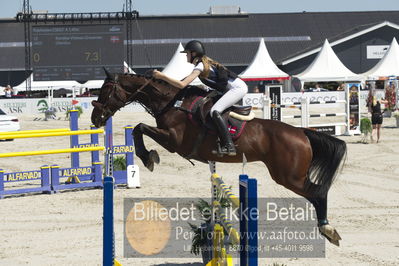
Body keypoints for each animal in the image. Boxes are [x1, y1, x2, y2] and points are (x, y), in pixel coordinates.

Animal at [91, 70, 346, 245]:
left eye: (106, 91)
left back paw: (328, 229)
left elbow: (139, 127)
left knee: (318, 193)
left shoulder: (174, 142)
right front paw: (148, 157)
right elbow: (138, 128)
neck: (171, 103)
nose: (95, 118)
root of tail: (302, 133)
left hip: (288, 176)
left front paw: (148, 157)